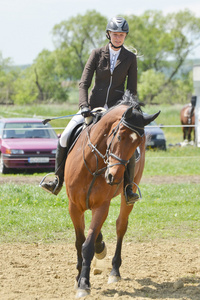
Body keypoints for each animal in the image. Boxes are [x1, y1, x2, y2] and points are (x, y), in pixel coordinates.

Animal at [64, 95, 159, 298]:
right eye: (119, 135)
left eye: (137, 143)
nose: (113, 177)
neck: (93, 165)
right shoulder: (74, 206)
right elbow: (79, 241)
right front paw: (78, 278)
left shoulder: (102, 206)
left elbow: (87, 246)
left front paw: (84, 284)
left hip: (127, 197)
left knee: (121, 226)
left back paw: (115, 271)